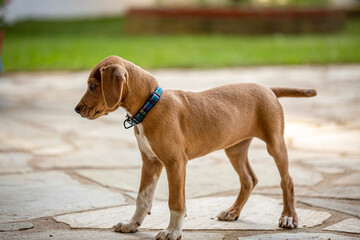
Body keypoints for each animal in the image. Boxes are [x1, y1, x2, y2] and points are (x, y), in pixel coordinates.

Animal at [75, 55, 316, 239]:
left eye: (93, 86)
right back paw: (233, 211)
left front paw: (172, 231)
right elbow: (142, 198)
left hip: (274, 142)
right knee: (249, 179)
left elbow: (175, 201)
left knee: (287, 180)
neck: (149, 106)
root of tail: (268, 88)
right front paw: (131, 224)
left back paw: (289, 217)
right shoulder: (150, 162)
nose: (77, 109)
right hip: (234, 148)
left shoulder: (175, 163)